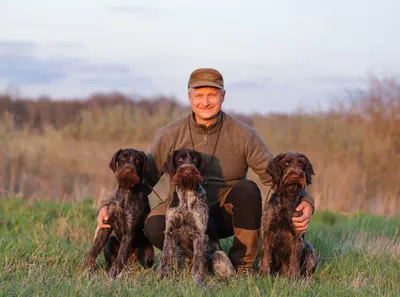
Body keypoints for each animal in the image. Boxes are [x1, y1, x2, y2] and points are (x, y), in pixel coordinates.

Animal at [83, 148, 154, 278]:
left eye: (137, 160)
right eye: (122, 159)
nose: (128, 170)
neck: (126, 192)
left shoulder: (129, 231)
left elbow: (121, 255)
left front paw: (113, 274)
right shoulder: (106, 225)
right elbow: (95, 248)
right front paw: (86, 267)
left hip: (147, 251)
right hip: (110, 242)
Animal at [157, 149, 234, 286]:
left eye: (194, 160)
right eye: (180, 160)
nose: (188, 171)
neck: (186, 196)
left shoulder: (199, 234)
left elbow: (198, 262)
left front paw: (198, 282)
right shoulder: (170, 233)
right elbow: (165, 258)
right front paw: (161, 279)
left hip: (218, 256)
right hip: (179, 251)